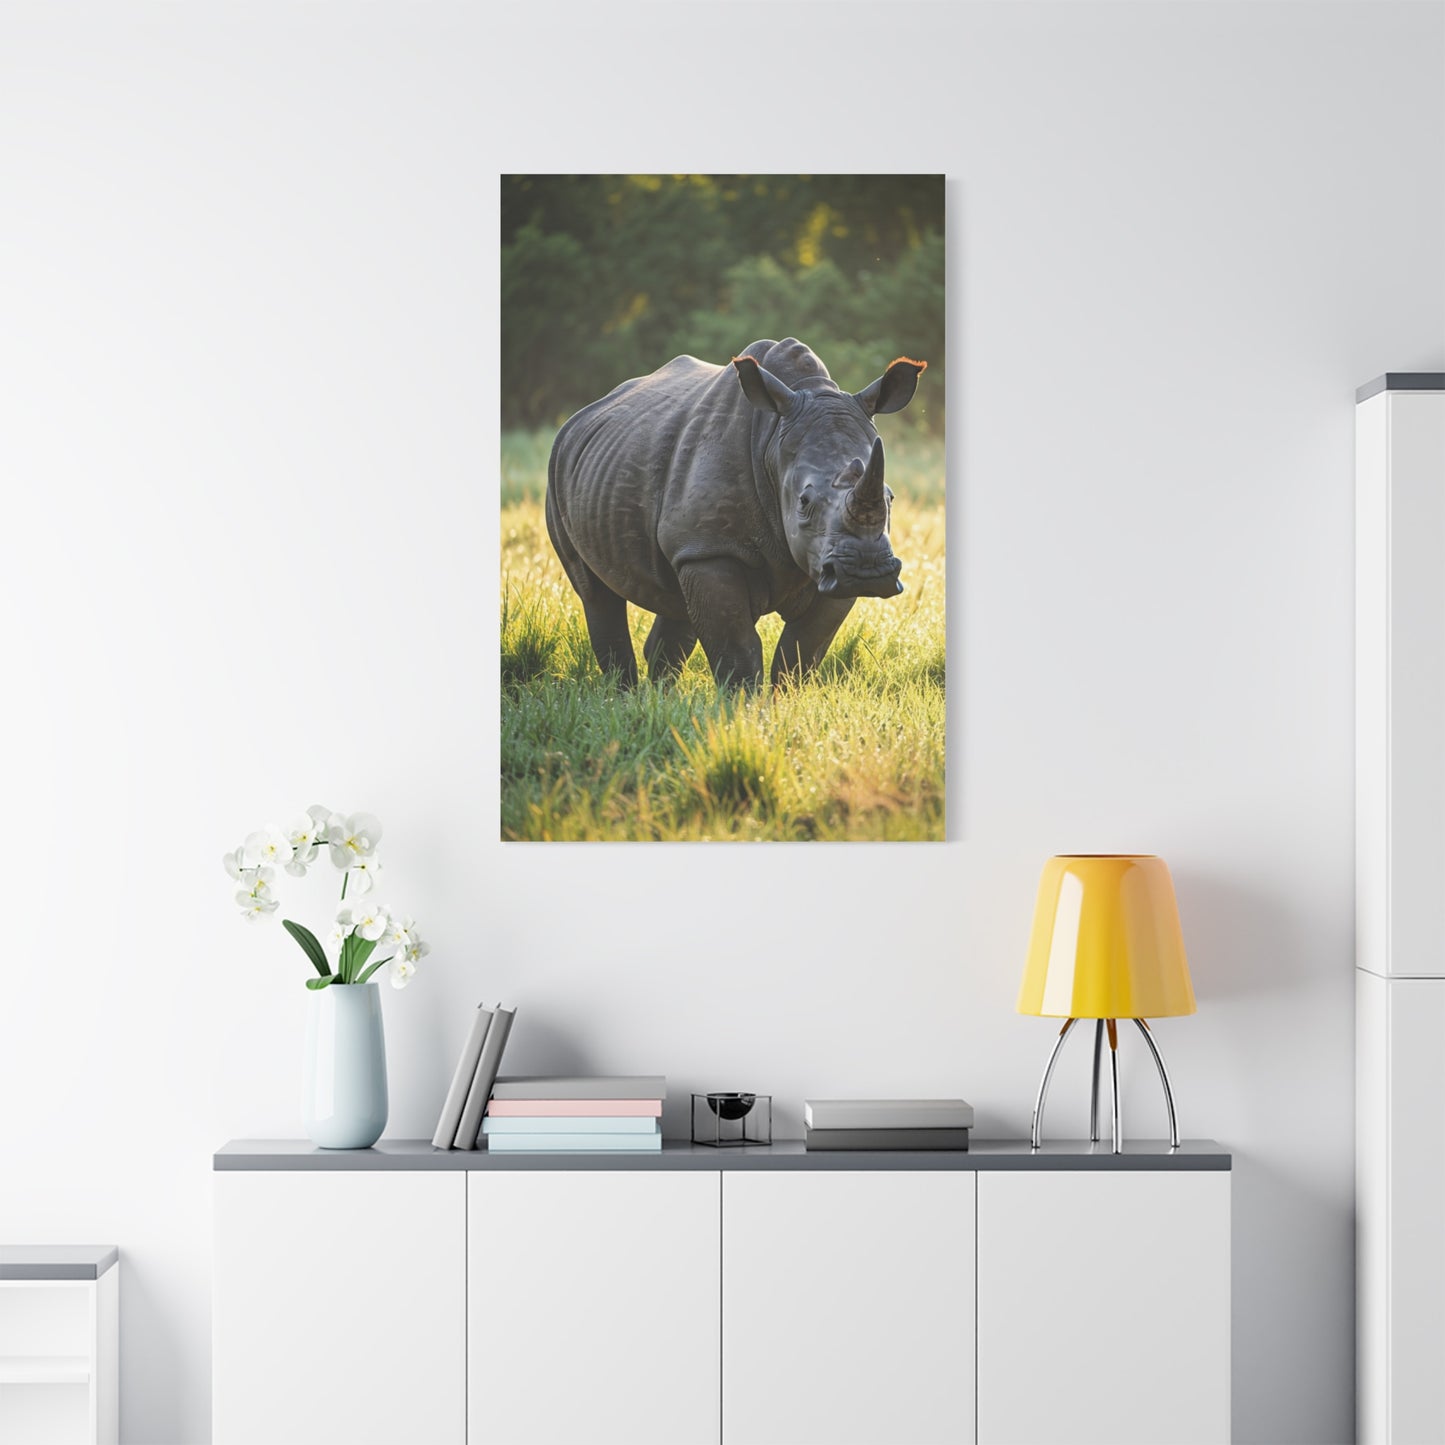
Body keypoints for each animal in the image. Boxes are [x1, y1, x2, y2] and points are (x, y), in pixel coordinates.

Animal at [545, 337, 926, 688]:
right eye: (804, 502)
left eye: (890, 498)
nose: (867, 570)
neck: (773, 443)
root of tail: (580, 416)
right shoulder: (712, 548)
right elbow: (737, 649)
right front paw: (744, 709)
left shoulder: (827, 565)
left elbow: (801, 651)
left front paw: (783, 703)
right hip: (558, 469)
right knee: (595, 593)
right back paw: (624, 695)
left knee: (676, 598)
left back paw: (659, 698)